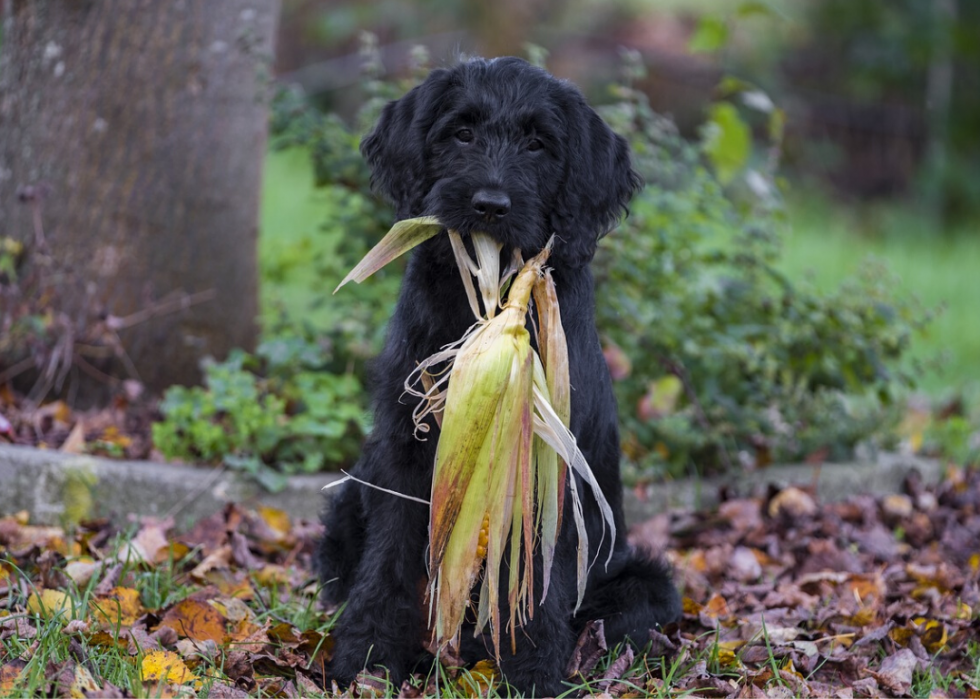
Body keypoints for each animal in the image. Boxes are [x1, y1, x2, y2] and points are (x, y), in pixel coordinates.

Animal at [318, 56, 676, 696]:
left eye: (538, 143)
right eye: (462, 132)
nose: (489, 204)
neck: (486, 300)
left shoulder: (550, 465)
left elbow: (537, 578)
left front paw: (531, 671)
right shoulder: (405, 455)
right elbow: (388, 559)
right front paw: (365, 657)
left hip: (643, 580)